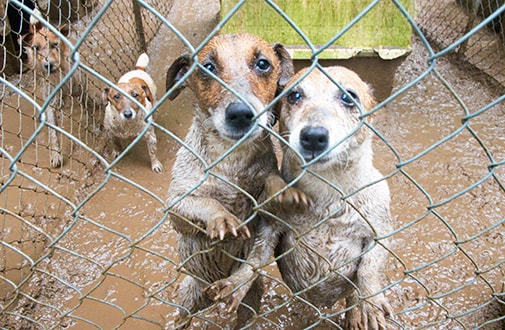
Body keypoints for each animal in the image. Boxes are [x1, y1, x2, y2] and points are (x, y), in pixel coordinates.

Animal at [165, 34, 308, 330]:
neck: (231, 158)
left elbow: (255, 258)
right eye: (208, 67)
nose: (241, 113)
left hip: (252, 299)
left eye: (263, 63)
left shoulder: (269, 227)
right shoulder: (175, 206)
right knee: (183, 317)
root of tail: (205, 295)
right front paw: (222, 218)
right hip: (187, 296)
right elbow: (206, 203)